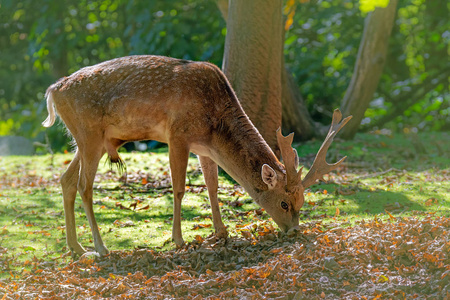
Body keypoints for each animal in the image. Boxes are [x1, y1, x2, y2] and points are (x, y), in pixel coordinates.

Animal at [42, 55, 352, 256]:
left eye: (303, 200)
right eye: (285, 203)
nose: (295, 231)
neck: (214, 121)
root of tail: (52, 91)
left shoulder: (204, 148)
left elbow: (212, 186)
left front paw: (221, 231)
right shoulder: (177, 135)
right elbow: (180, 188)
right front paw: (178, 239)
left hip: (88, 140)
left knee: (66, 180)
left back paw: (76, 246)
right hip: (88, 134)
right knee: (84, 185)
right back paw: (100, 247)